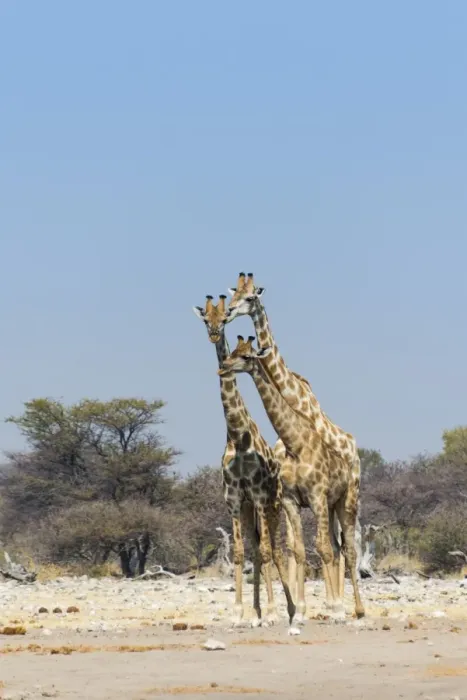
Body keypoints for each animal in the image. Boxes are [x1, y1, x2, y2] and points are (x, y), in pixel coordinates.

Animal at [192, 295, 296, 628]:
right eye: (205, 319)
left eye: (225, 317)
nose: (214, 334)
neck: (237, 437)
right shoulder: (235, 499)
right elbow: (239, 552)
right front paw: (240, 613)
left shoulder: (260, 496)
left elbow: (266, 552)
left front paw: (274, 613)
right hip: (252, 511)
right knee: (256, 547)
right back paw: (257, 611)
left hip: (274, 506)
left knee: (274, 548)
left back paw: (290, 609)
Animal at [226, 272, 358, 604]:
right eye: (232, 295)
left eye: (250, 298)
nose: (230, 312)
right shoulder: (288, 494)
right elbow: (293, 548)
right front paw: (302, 603)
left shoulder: (317, 492)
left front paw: (326, 602)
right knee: (331, 546)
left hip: (351, 495)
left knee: (344, 547)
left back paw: (347, 603)